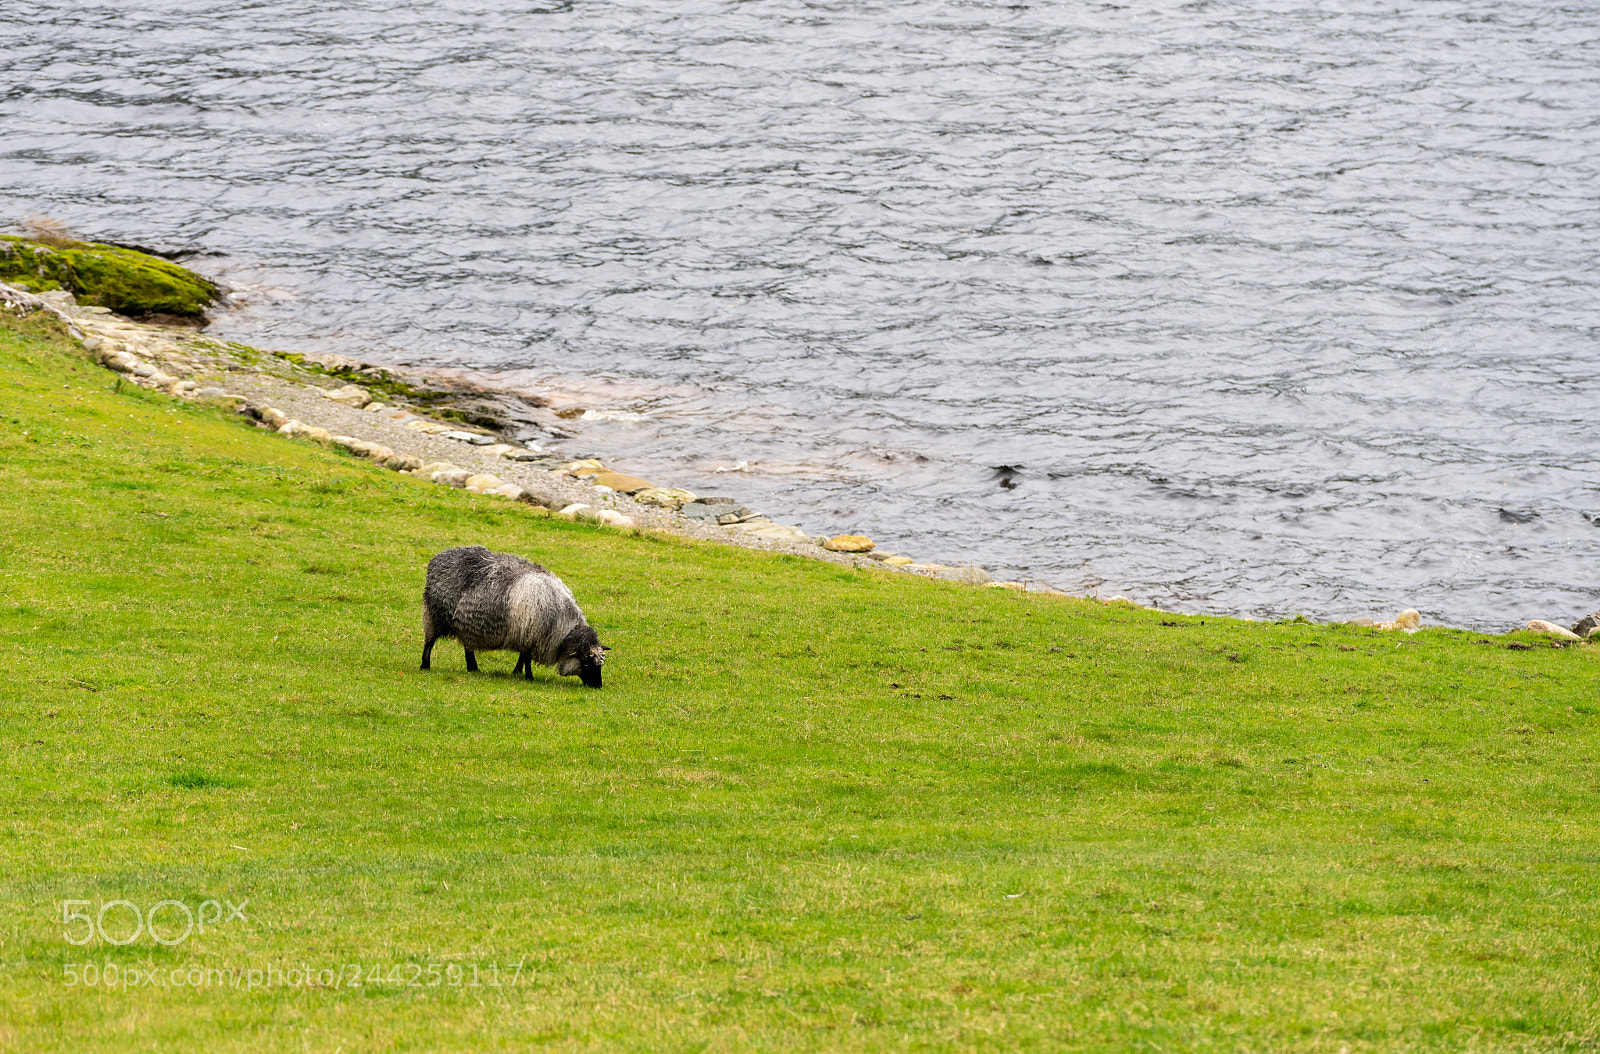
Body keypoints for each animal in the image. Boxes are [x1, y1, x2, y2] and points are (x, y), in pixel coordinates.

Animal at [421, 545, 608, 687]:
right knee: (429, 642)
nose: (597, 686)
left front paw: (517, 672)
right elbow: (527, 658)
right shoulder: (530, 634)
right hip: (434, 615)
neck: (560, 622)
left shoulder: (526, 635)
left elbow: (523, 656)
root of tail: (439, 557)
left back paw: (473, 668)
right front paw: (528, 676)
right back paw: (425, 666)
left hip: (466, 624)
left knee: (468, 646)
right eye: (585, 661)